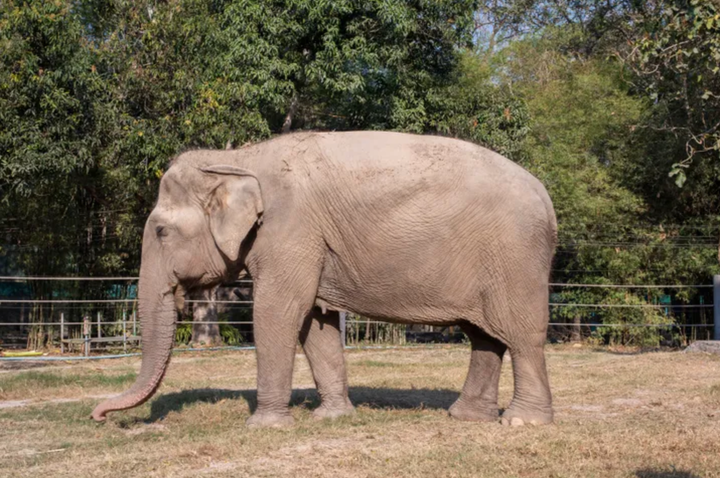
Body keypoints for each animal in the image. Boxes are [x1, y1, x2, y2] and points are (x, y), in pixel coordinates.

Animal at [91, 130, 556, 426]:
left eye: (161, 232)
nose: (98, 415)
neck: (240, 159)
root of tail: (548, 200)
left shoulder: (291, 229)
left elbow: (279, 310)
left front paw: (265, 426)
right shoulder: (310, 242)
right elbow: (315, 320)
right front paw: (330, 417)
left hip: (515, 256)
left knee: (520, 333)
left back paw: (523, 423)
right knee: (484, 335)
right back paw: (467, 417)